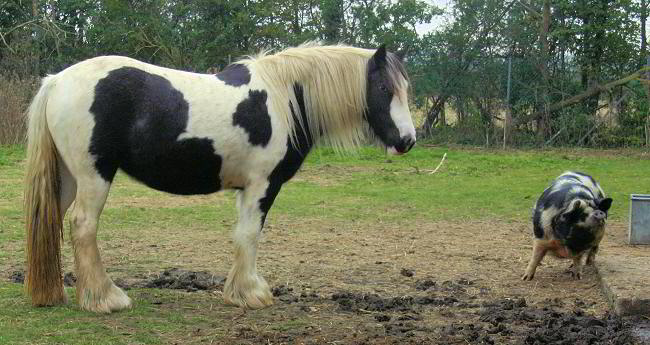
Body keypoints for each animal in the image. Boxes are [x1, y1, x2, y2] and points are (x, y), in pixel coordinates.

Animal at [24, 42, 416, 312]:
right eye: (385, 89)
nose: (407, 141)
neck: (284, 100)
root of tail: (57, 81)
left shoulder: (248, 189)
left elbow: (242, 235)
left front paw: (240, 291)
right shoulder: (262, 185)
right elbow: (250, 235)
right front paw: (251, 293)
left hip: (68, 177)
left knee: (53, 222)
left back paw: (53, 294)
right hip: (94, 176)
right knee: (83, 225)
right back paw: (105, 299)